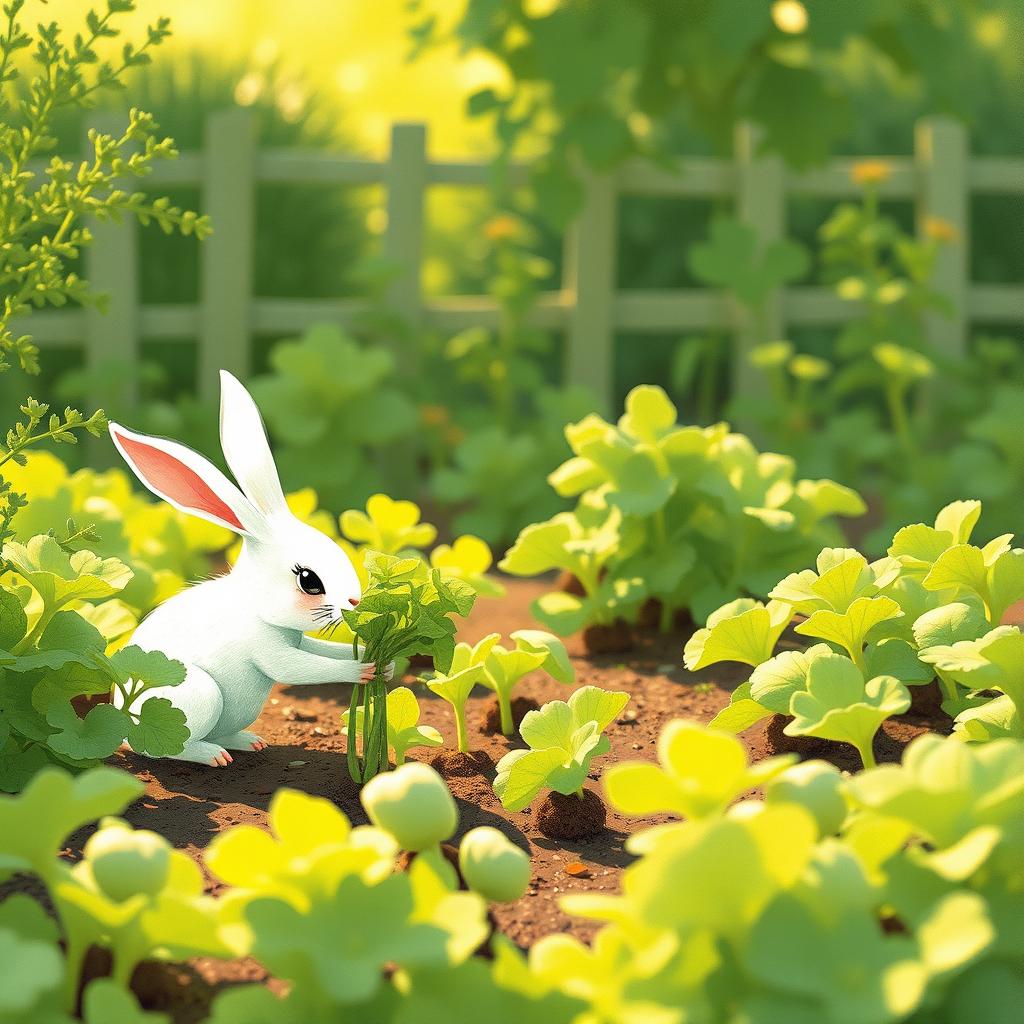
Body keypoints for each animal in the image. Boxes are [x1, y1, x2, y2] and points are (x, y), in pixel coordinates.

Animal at [108, 372, 387, 765]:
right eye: (309, 581)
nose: (355, 601)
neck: (255, 604)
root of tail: (124, 729)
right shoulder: (268, 650)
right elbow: (302, 668)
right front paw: (363, 670)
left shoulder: (297, 639)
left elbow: (322, 650)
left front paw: (384, 666)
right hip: (199, 697)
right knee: (167, 747)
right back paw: (213, 756)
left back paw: (249, 743)